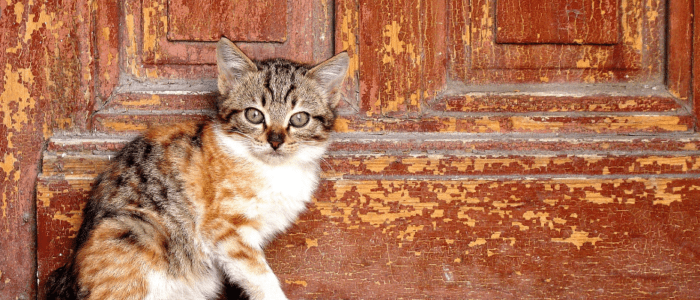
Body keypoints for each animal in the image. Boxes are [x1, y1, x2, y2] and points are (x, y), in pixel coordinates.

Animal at [44, 38, 350, 300]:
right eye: (254, 114)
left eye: (299, 119)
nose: (275, 140)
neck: (273, 169)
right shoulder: (225, 229)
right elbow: (260, 276)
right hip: (135, 230)